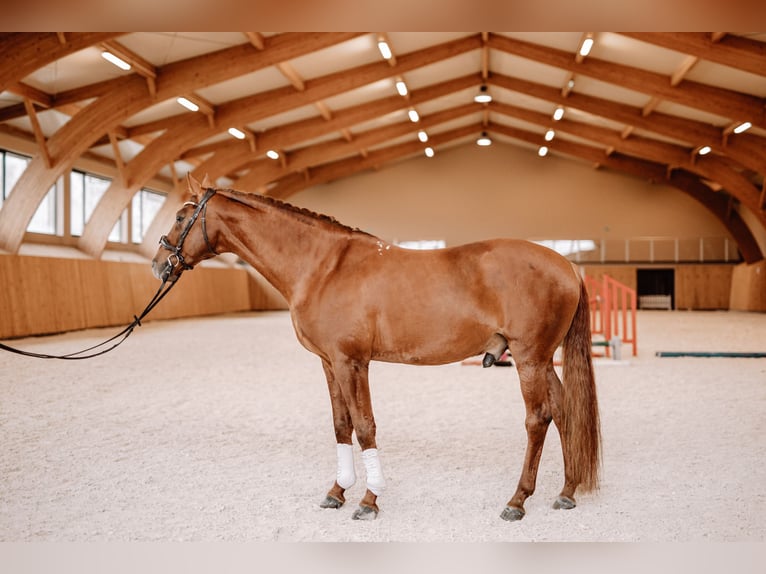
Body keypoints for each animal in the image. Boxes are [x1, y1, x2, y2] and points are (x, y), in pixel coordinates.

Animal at [153, 178, 604, 524]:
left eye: (180, 217)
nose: (159, 263)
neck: (323, 266)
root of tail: (566, 265)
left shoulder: (352, 363)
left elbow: (365, 426)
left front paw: (369, 500)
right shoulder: (330, 363)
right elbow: (341, 425)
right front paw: (337, 492)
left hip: (529, 359)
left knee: (538, 419)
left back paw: (517, 501)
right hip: (543, 362)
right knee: (564, 412)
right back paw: (566, 491)